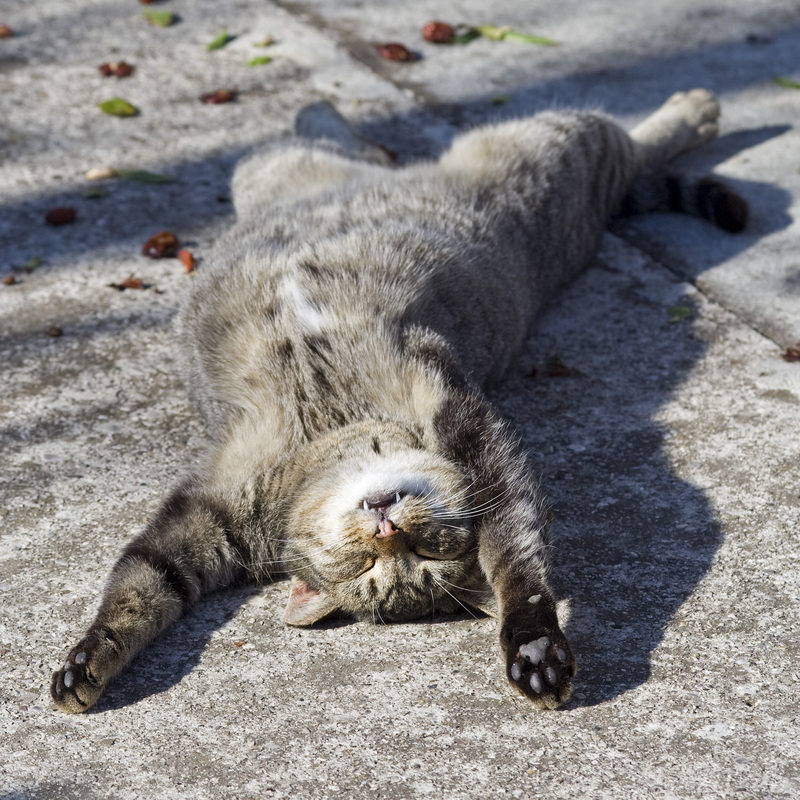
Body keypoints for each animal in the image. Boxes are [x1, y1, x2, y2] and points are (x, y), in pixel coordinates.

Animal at [53, 89, 748, 712]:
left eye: (427, 553)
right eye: (365, 566)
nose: (387, 528)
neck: (330, 429)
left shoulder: (470, 431)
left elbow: (515, 554)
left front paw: (531, 641)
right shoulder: (208, 507)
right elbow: (141, 586)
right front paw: (91, 656)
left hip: (550, 162)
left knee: (633, 145)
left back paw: (696, 107)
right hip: (284, 170)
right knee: (336, 142)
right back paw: (326, 108)